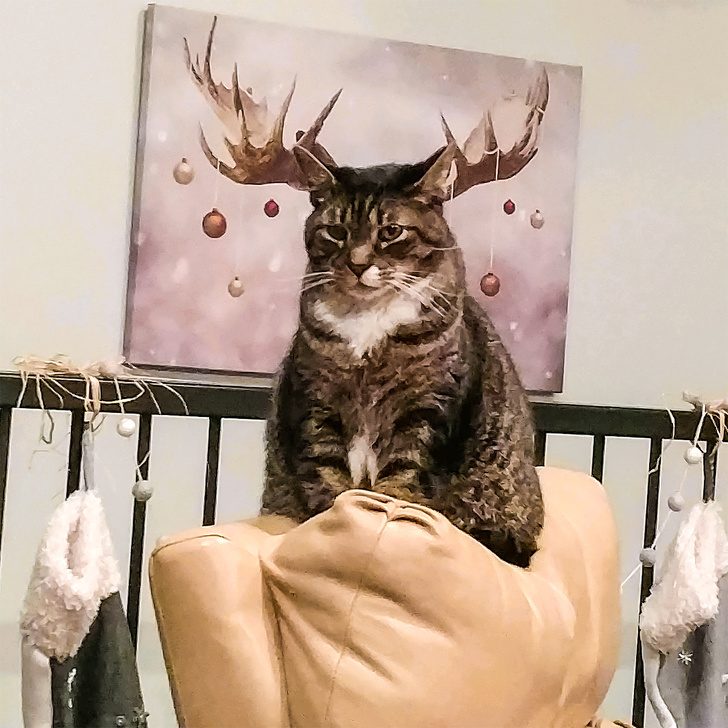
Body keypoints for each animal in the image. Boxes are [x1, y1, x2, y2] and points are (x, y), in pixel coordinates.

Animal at [262, 144, 543, 567]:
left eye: (391, 232)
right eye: (336, 231)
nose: (357, 264)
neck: (370, 320)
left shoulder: (428, 405)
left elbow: (406, 468)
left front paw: (387, 509)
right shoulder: (317, 401)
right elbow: (325, 467)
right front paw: (333, 517)